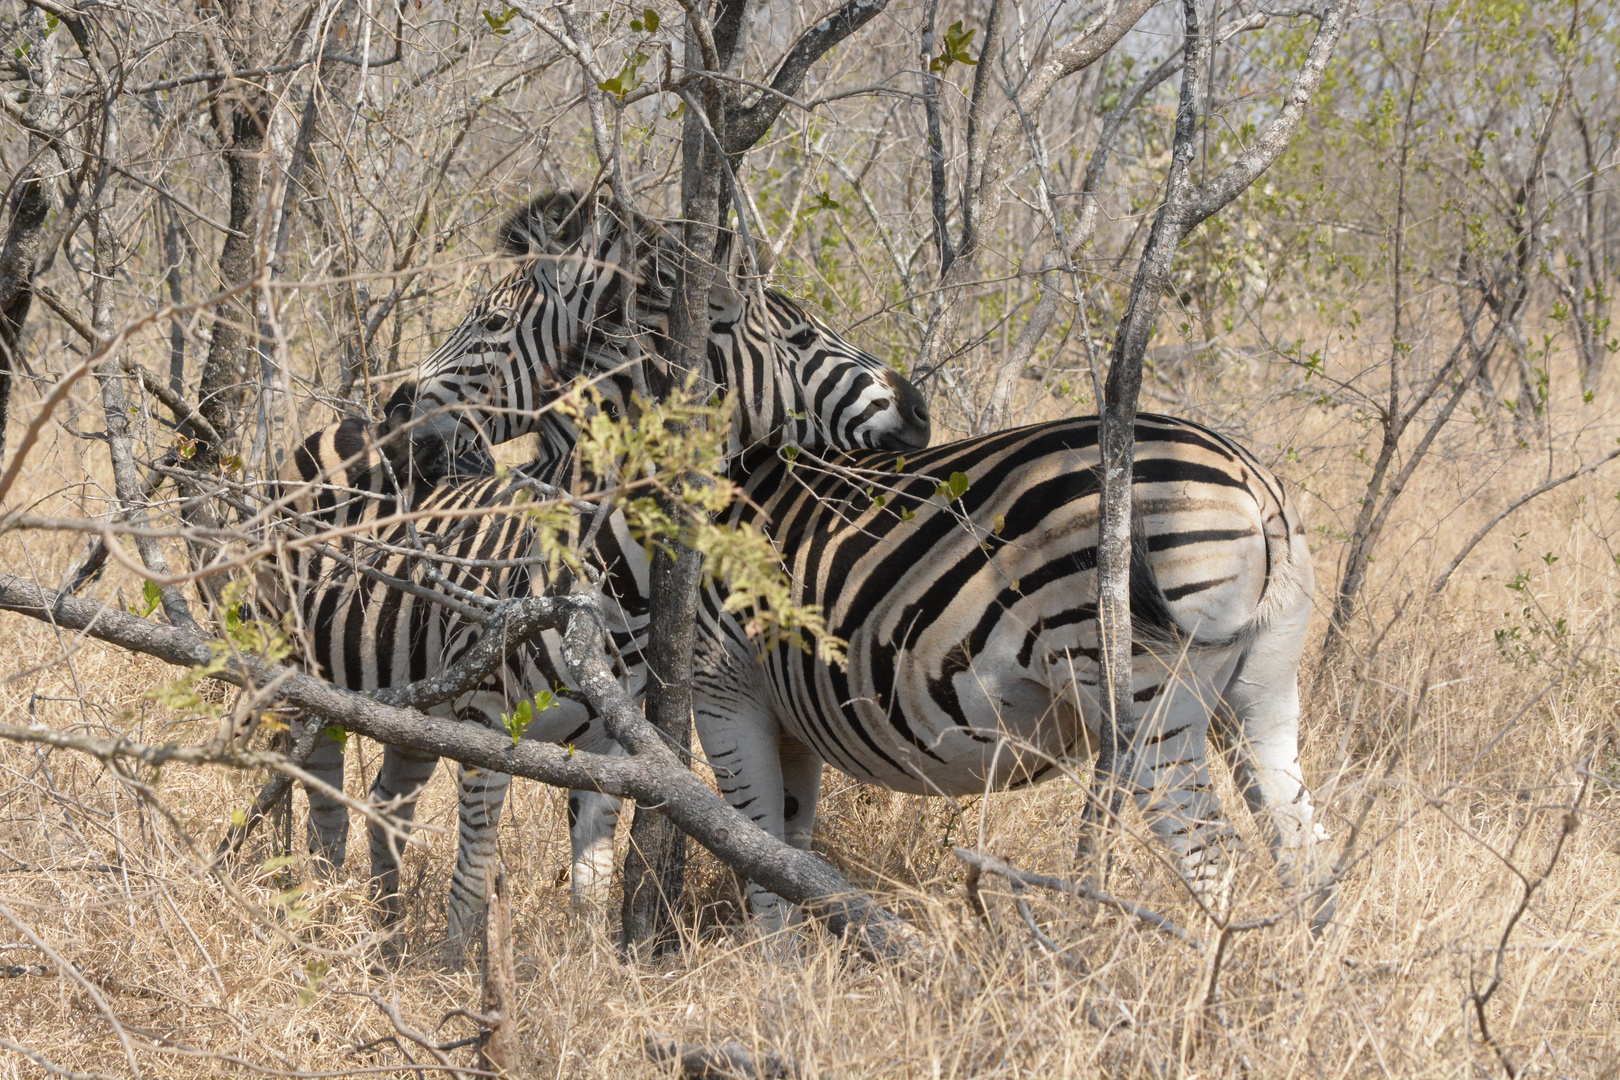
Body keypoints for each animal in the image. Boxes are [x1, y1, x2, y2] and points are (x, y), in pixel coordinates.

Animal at [262, 194, 926, 952]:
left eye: (493, 323)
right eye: (805, 338)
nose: (920, 409)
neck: (614, 577)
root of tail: (333, 432)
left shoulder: (609, 753)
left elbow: (592, 888)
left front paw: (587, 967)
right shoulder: (487, 726)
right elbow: (474, 876)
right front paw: (456, 967)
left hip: (414, 701)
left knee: (384, 805)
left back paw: (384, 923)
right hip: (297, 665)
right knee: (312, 790)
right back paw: (311, 904)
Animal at [683, 411, 1328, 932]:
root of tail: (1252, 477)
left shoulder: (721, 688)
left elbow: (757, 844)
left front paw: (775, 973)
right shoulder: (787, 719)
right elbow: (791, 838)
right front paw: (798, 963)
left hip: (1151, 698)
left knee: (1213, 854)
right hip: (1261, 688)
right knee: (1298, 841)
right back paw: (1293, 982)